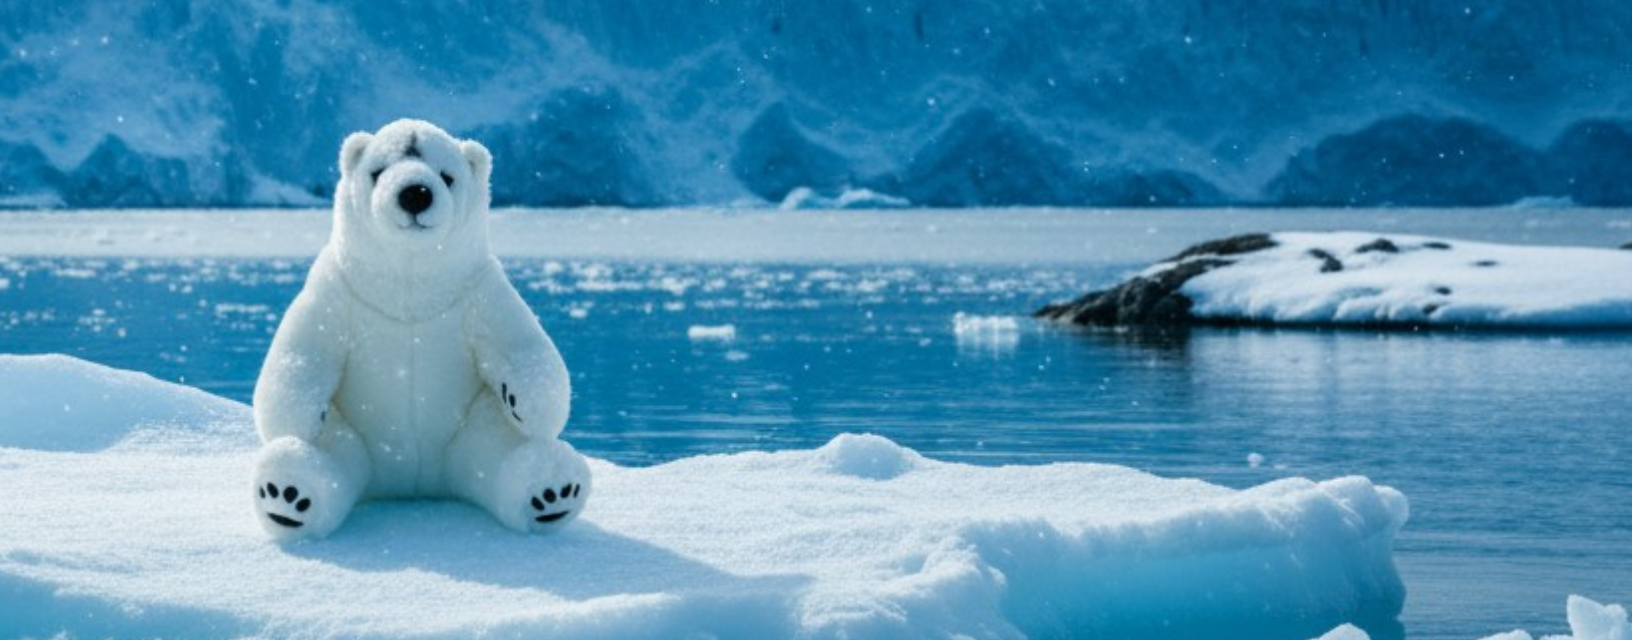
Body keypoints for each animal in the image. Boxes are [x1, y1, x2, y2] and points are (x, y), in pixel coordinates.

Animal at [250, 119, 590, 541]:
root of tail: (411, 483)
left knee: (508, 454)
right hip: (356, 439)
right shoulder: (337, 288)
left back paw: (553, 492)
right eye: (378, 170)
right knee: (324, 458)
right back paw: (287, 495)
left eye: (447, 176)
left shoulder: (479, 290)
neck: (409, 288)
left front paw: (523, 401)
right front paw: (306, 413)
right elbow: (302, 352)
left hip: (472, 431)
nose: (415, 193)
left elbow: (522, 344)